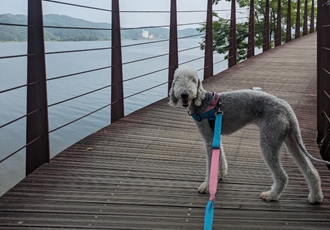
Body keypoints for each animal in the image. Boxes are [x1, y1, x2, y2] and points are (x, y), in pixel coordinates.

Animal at [169, 66, 330, 203]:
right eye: (177, 79)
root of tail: (286, 107)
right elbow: (220, 158)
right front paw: (220, 175)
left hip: (269, 140)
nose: (184, 94)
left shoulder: (209, 139)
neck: (202, 102)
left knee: (282, 176)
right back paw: (315, 197)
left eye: (193, 80)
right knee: (310, 170)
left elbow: (211, 165)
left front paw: (207, 186)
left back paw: (271, 196)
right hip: (290, 139)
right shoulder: (216, 136)